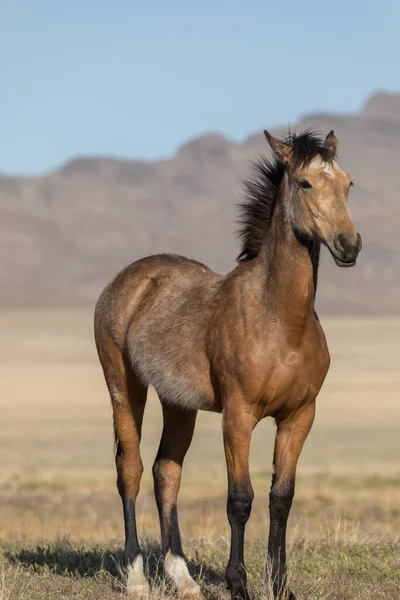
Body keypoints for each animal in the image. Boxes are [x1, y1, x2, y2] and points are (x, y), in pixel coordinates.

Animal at [94, 131, 362, 600]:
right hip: (124, 387)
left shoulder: (299, 416)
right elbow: (240, 498)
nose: (349, 245)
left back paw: (182, 578)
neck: (280, 320)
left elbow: (281, 497)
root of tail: (128, 278)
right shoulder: (238, 416)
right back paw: (137, 578)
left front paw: (280, 584)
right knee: (131, 470)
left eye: (348, 183)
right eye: (306, 183)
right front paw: (239, 583)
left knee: (166, 472)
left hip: (177, 403)